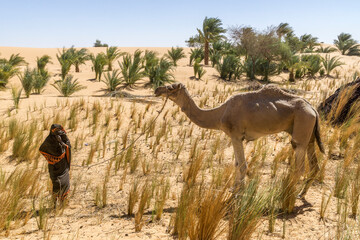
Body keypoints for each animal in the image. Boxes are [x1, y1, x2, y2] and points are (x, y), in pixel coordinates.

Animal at [156, 82, 324, 197]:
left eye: (170, 87)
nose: (157, 89)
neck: (220, 113)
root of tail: (313, 109)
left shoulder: (236, 135)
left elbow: (242, 165)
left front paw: (238, 193)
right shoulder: (235, 137)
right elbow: (237, 164)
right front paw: (234, 188)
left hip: (302, 124)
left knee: (299, 161)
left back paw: (285, 197)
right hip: (308, 132)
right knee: (314, 163)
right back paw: (301, 194)